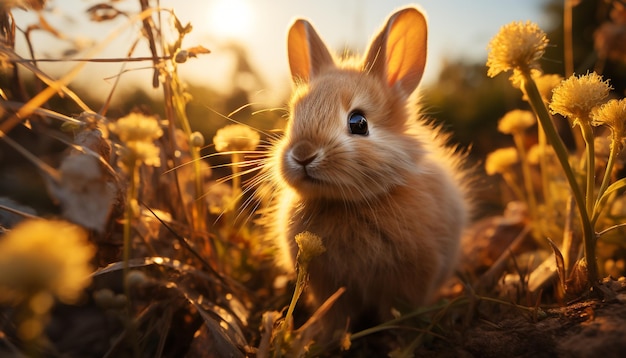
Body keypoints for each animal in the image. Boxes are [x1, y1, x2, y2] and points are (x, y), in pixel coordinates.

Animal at [258, 4, 468, 342]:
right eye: (292, 117)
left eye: (359, 123)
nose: (303, 154)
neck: (348, 203)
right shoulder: (328, 285)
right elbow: (335, 312)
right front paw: (318, 336)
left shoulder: (411, 277)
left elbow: (398, 311)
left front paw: (398, 337)